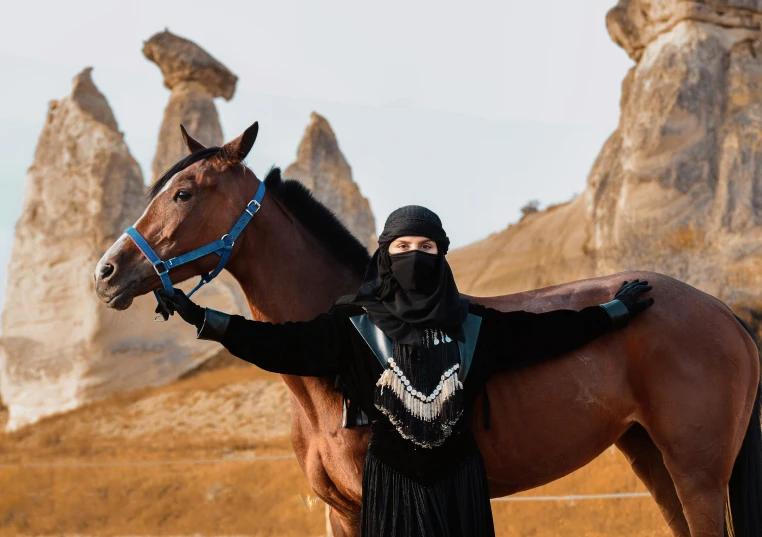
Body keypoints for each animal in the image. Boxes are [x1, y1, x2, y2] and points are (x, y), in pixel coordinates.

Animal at [95, 121, 760, 536]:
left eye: (183, 193)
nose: (107, 272)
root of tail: (721, 311)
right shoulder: (340, 514)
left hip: (698, 476)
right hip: (653, 460)